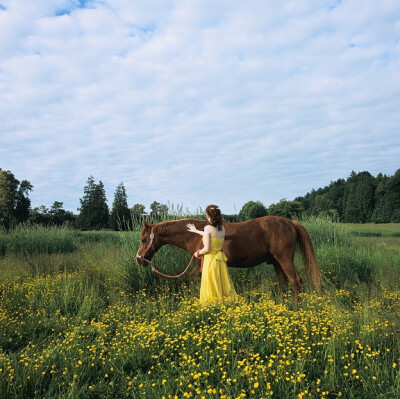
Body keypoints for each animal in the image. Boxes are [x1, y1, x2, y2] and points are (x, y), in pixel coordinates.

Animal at [137, 216, 322, 300]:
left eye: (144, 239)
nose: (139, 259)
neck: (196, 235)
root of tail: (290, 222)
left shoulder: (198, 265)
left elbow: (189, 280)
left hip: (284, 260)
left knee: (295, 281)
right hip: (277, 262)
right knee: (284, 282)